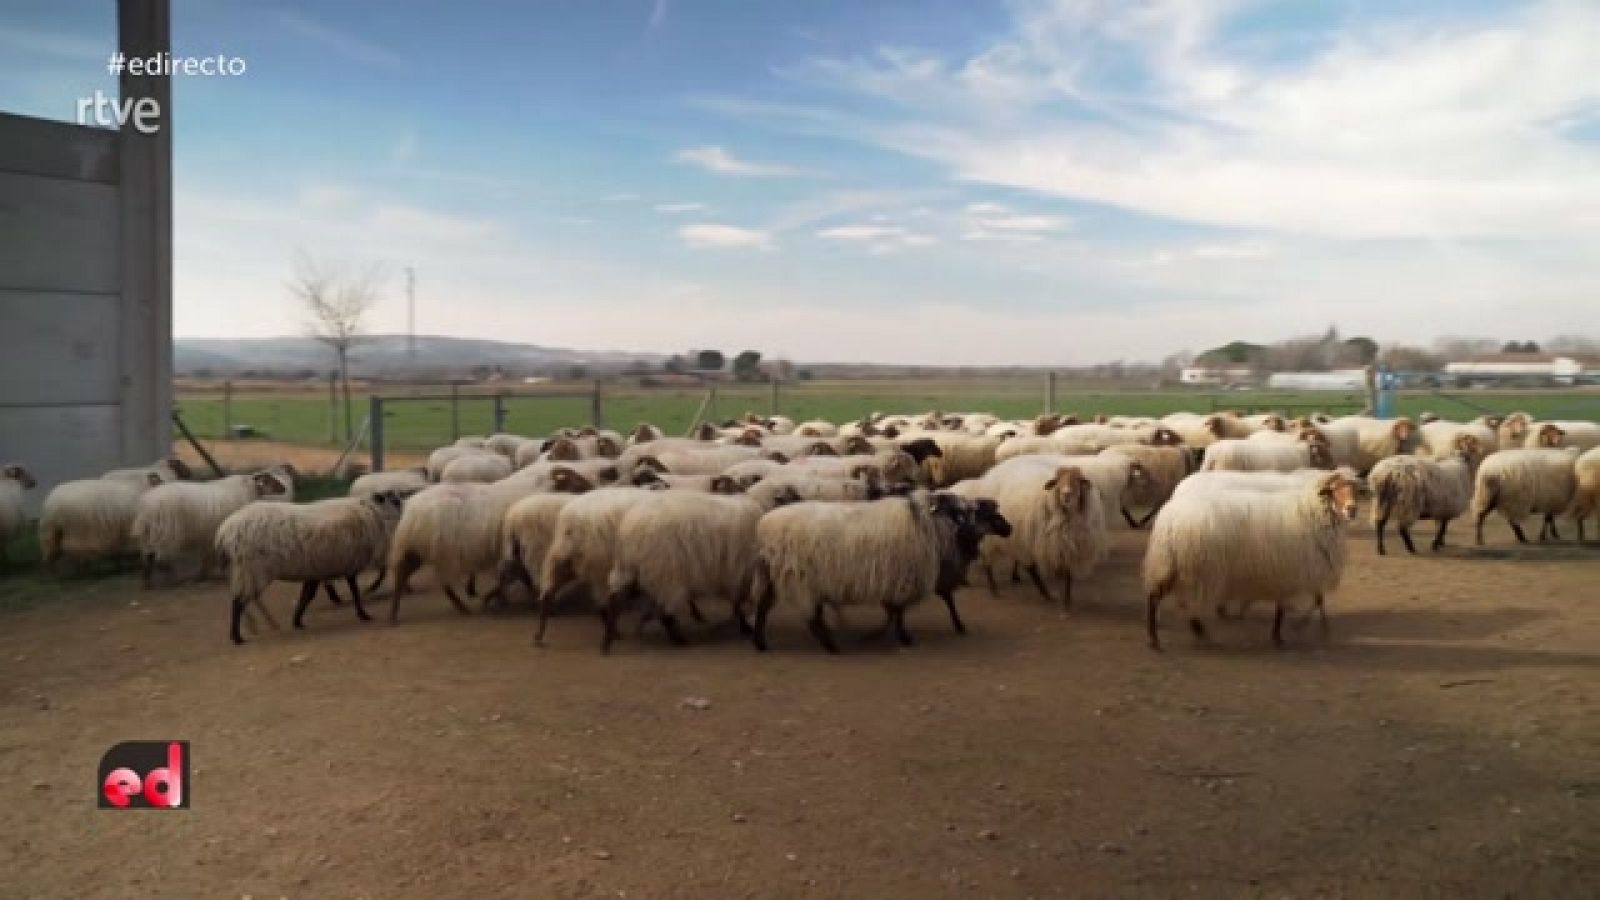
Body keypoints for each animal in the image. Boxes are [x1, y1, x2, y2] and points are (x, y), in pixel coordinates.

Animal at [131, 469, 294, 588]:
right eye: (270, 480)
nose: (283, 488)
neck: (249, 490)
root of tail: (148, 504)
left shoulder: (210, 534)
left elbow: (207, 556)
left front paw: (204, 575)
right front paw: (216, 573)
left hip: (149, 533)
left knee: (148, 556)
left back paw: (147, 582)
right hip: (165, 531)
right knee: (159, 557)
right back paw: (172, 578)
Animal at [215, 490, 408, 644]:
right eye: (395, 501)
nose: (407, 508)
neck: (370, 512)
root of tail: (224, 532)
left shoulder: (315, 570)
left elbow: (307, 596)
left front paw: (297, 621)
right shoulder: (349, 564)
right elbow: (354, 592)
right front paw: (363, 615)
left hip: (246, 571)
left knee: (245, 598)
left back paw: (258, 627)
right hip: (252, 569)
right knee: (239, 602)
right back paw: (238, 637)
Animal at [388, 466, 595, 621]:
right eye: (577, 483)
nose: (594, 491)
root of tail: (411, 508)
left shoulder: (513, 549)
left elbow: (519, 575)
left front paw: (498, 599)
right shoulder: (520, 545)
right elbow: (522, 575)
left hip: (424, 549)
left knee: (424, 579)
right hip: (430, 549)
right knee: (410, 576)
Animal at [748, 490, 971, 653]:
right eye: (954, 510)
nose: (969, 522)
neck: (924, 524)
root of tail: (764, 526)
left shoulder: (893, 581)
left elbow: (894, 612)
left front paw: (882, 634)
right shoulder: (901, 580)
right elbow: (898, 613)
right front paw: (903, 637)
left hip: (778, 576)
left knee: (764, 607)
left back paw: (761, 643)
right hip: (801, 578)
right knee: (812, 618)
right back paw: (831, 646)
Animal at [1143, 470, 1361, 650]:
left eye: (1354, 490)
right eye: (1334, 490)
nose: (1352, 510)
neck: (1310, 512)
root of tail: (1169, 519)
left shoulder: (1288, 570)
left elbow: (1307, 601)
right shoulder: (1292, 568)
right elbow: (1306, 602)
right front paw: (1288, 632)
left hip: (1174, 564)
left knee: (1176, 600)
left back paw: (1195, 631)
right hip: (1195, 567)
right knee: (1162, 599)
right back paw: (1159, 639)